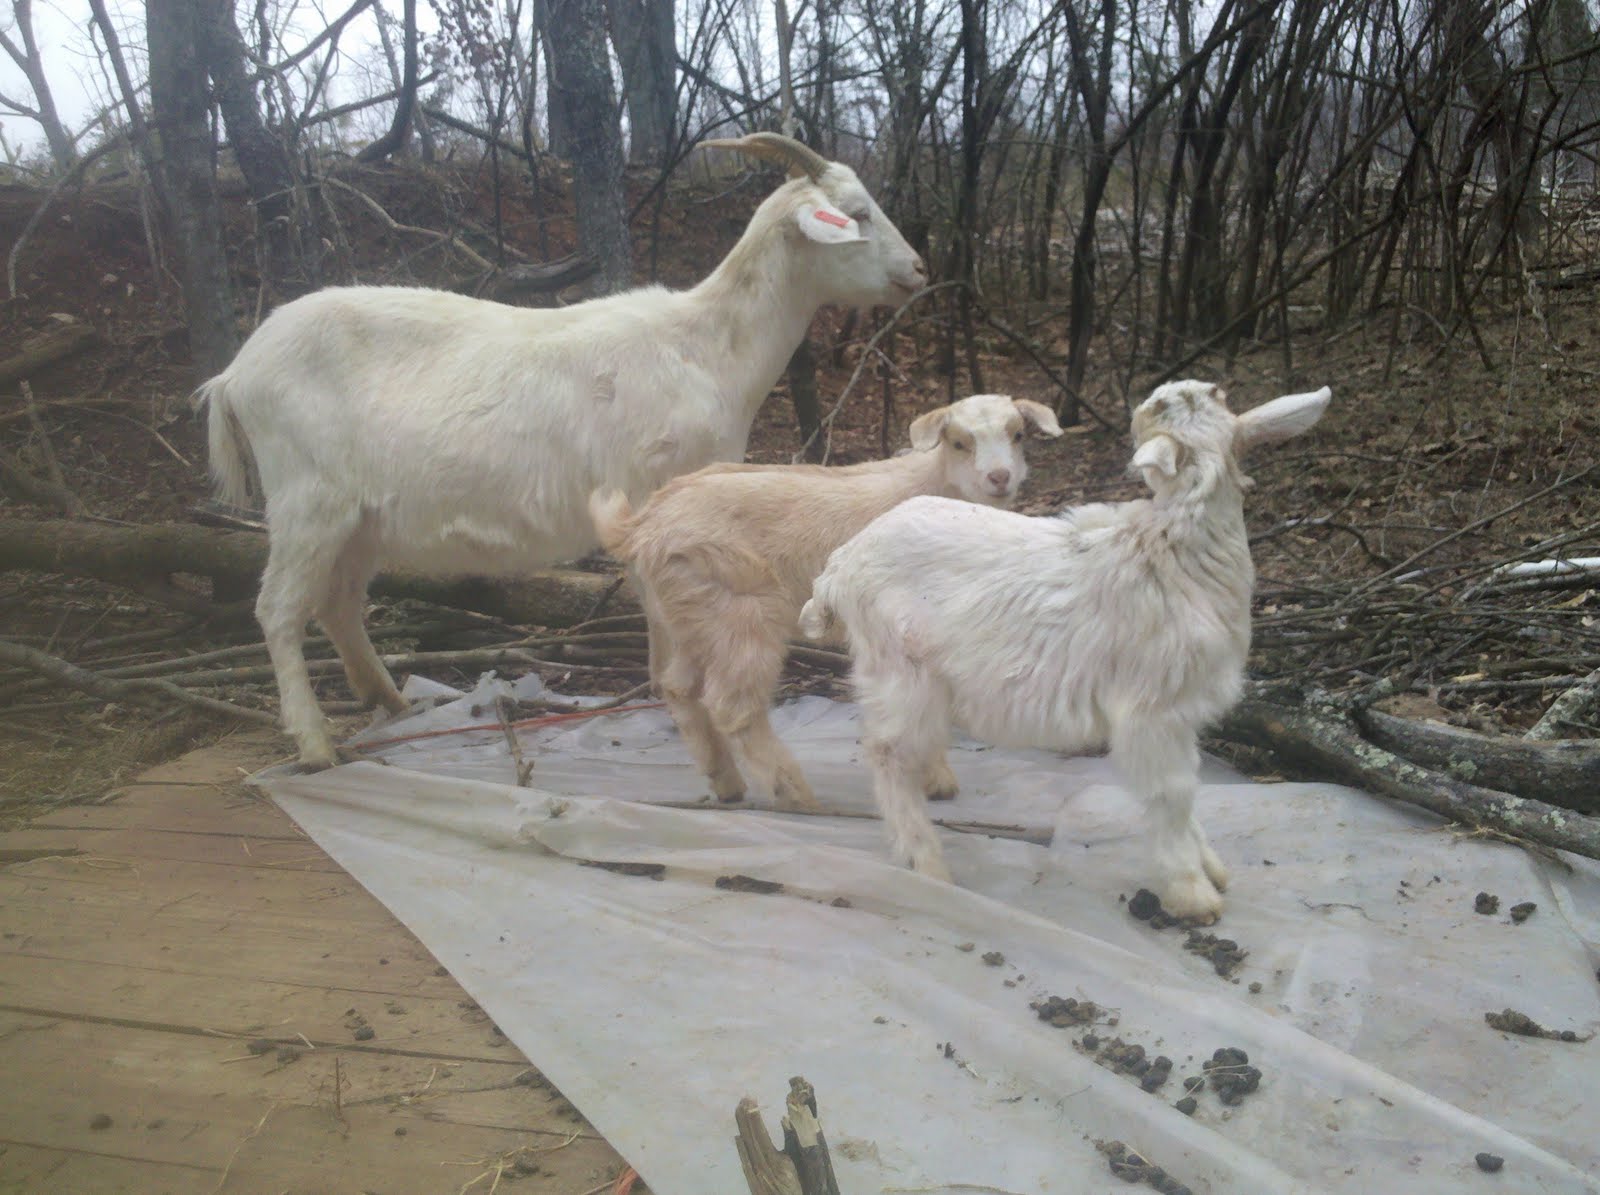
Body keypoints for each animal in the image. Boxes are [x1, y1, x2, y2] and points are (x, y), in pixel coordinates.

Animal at [196, 133, 927, 768]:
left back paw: (392, 703)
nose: (918, 270)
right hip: (305, 497)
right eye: (857, 213)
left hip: (358, 517)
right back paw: (314, 741)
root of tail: (235, 373)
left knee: (338, 603)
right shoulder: (655, 492)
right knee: (278, 609)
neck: (706, 347)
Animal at [590, 393, 1062, 810]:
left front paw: (935, 779)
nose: (999, 477)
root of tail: (641, 525)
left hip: (692, 614)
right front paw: (935, 779)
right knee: (732, 706)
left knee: (678, 687)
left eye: (1018, 434)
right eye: (959, 442)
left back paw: (726, 782)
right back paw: (796, 795)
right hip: (741, 611)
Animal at [799, 381, 1331, 922]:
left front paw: (1209, 868)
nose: (1139, 409)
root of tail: (841, 565)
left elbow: (1187, 788)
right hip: (898, 668)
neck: (1172, 554)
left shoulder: (1179, 714)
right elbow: (1171, 792)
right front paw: (1191, 892)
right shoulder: (1152, 710)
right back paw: (927, 863)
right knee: (887, 754)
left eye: (1212, 395)